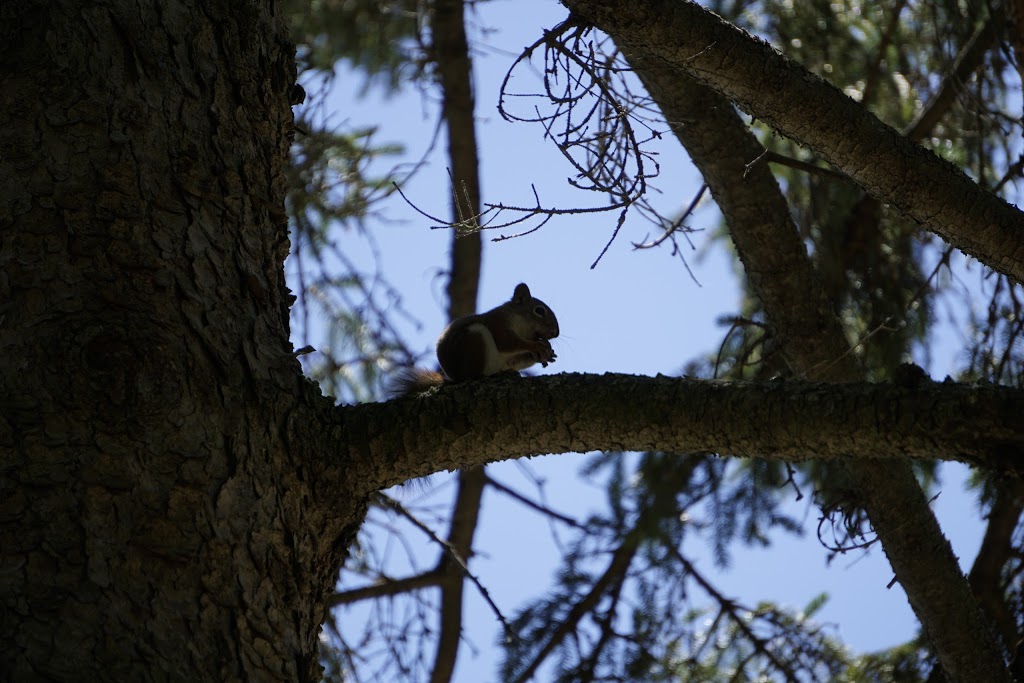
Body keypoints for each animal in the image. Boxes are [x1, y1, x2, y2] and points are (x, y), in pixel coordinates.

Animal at [389, 282, 561, 395]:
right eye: (539, 311)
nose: (556, 333)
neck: (521, 326)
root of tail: (455, 378)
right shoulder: (497, 323)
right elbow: (505, 341)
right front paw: (537, 347)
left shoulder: (511, 357)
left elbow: (517, 359)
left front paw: (546, 354)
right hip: (475, 339)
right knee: (472, 374)